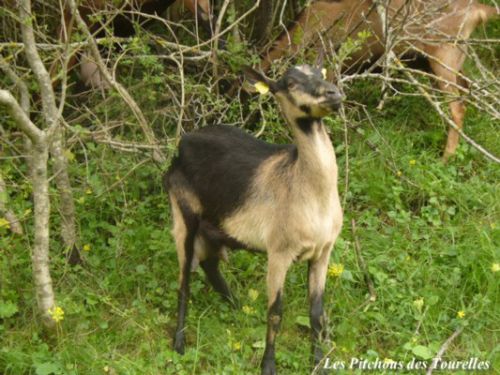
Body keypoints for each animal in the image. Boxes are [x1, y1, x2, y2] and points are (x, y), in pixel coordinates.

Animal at [164, 63, 344, 374]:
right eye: (290, 83)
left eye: (320, 72)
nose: (333, 94)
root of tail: (182, 143)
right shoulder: (279, 252)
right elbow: (275, 313)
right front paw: (268, 366)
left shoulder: (323, 252)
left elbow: (316, 313)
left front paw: (319, 362)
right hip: (183, 215)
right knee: (184, 281)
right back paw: (179, 344)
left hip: (217, 228)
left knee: (210, 264)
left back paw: (236, 307)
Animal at [260, 0, 498, 160]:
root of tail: (478, 10)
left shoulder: (332, 65)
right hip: (446, 59)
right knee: (467, 91)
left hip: (444, 53)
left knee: (457, 107)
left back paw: (446, 157)